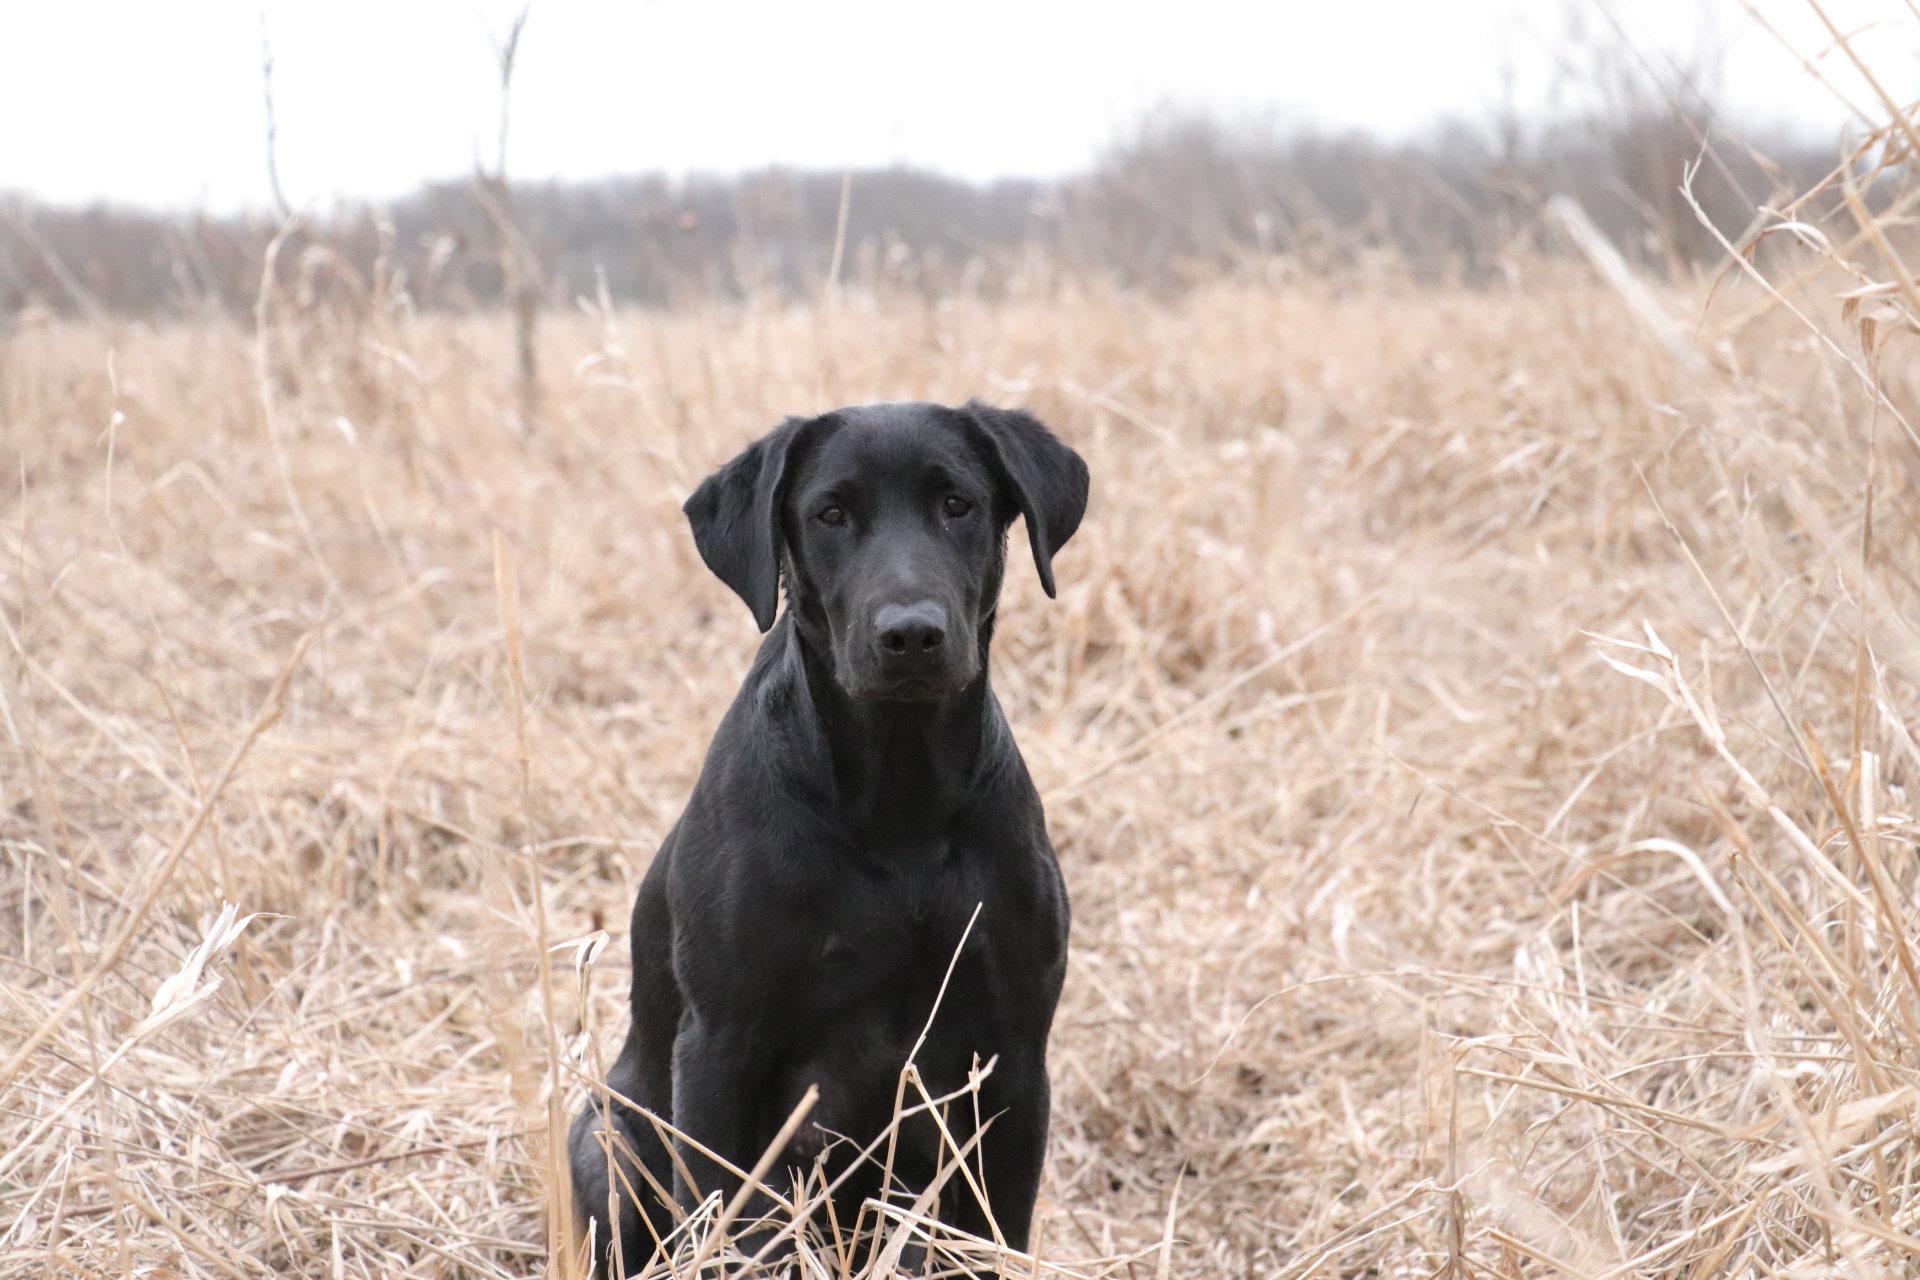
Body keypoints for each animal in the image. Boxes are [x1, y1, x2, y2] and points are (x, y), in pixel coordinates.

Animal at [564, 397, 1082, 1274]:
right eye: (830, 514)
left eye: (958, 504)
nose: (911, 634)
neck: (900, 809)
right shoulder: (719, 1050)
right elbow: (724, 1222)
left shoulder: (1013, 1064)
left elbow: (997, 1237)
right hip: (607, 1142)